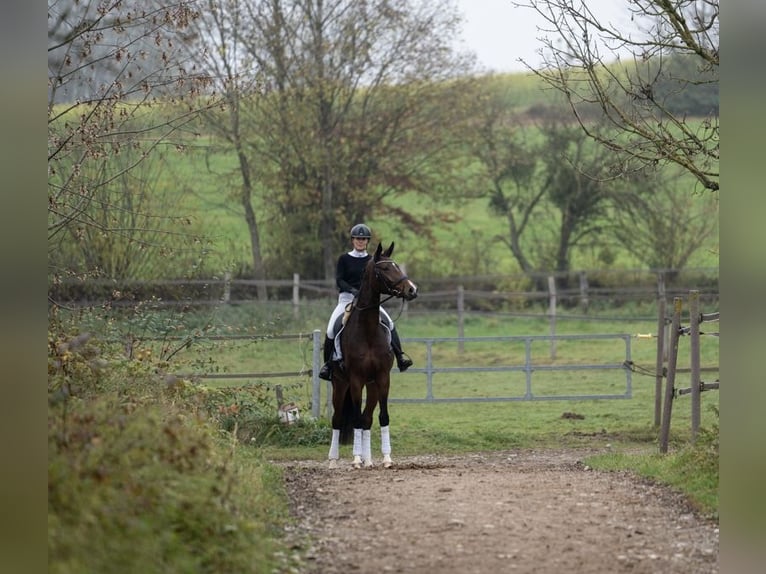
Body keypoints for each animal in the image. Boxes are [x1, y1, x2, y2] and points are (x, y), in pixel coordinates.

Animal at [328, 241, 416, 470]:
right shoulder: (356, 380)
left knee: (367, 418)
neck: (367, 330)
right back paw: (334, 460)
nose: (412, 290)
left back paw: (368, 460)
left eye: (396, 265)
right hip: (340, 384)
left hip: (372, 385)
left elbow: (382, 417)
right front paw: (356, 459)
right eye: (384, 269)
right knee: (338, 419)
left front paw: (386, 458)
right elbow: (355, 419)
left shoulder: (383, 378)